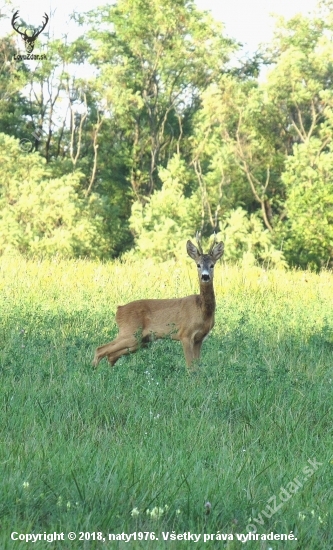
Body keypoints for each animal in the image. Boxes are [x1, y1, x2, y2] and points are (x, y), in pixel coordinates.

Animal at [92, 235, 224, 374]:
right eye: (198, 265)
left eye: (212, 265)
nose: (205, 276)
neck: (202, 309)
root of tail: (119, 310)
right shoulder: (185, 334)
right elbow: (190, 367)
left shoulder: (199, 339)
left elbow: (197, 367)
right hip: (130, 333)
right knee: (100, 349)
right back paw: (93, 371)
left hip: (139, 341)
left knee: (110, 355)